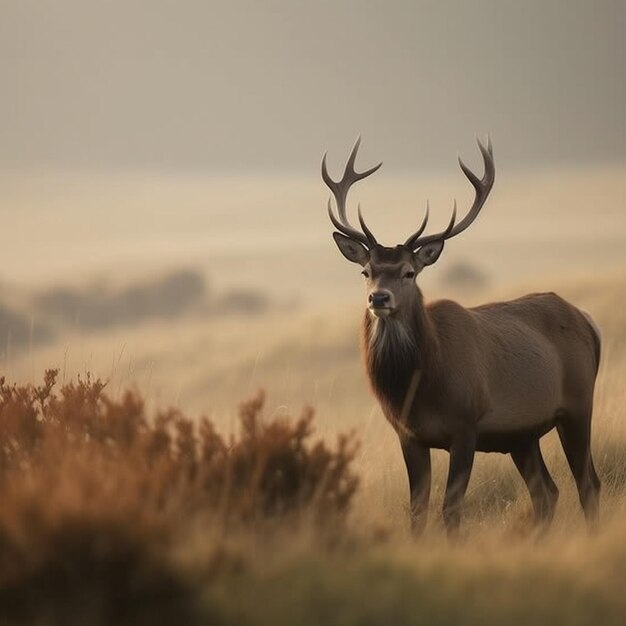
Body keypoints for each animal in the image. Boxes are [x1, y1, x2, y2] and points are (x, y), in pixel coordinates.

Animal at [322, 136, 600, 536]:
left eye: (409, 272)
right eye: (366, 271)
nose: (379, 298)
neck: (420, 387)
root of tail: (588, 322)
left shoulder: (466, 425)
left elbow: (450, 510)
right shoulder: (408, 434)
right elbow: (417, 511)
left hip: (578, 404)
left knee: (587, 483)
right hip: (523, 435)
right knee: (547, 492)